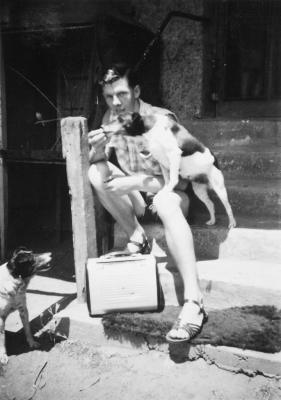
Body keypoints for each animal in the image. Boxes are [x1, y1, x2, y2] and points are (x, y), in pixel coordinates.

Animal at [99, 111, 235, 228]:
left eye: (120, 119)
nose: (102, 126)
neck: (150, 127)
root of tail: (215, 160)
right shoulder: (162, 162)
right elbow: (167, 182)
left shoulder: (174, 155)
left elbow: (172, 181)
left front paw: (159, 198)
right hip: (199, 190)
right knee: (210, 204)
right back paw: (212, 220)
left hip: (220, 188)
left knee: (228, 207)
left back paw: (232, 223)